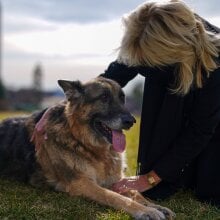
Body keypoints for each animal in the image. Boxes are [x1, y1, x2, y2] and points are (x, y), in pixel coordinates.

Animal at [0, 77, 174, 218]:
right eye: (104, 97)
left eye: (122, 98)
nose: (131, 121)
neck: (83, 142)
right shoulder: (82, 183)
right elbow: (115, 197)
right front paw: (146, 211)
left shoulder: (116, 181)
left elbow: (136, 193)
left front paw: (154, 206)